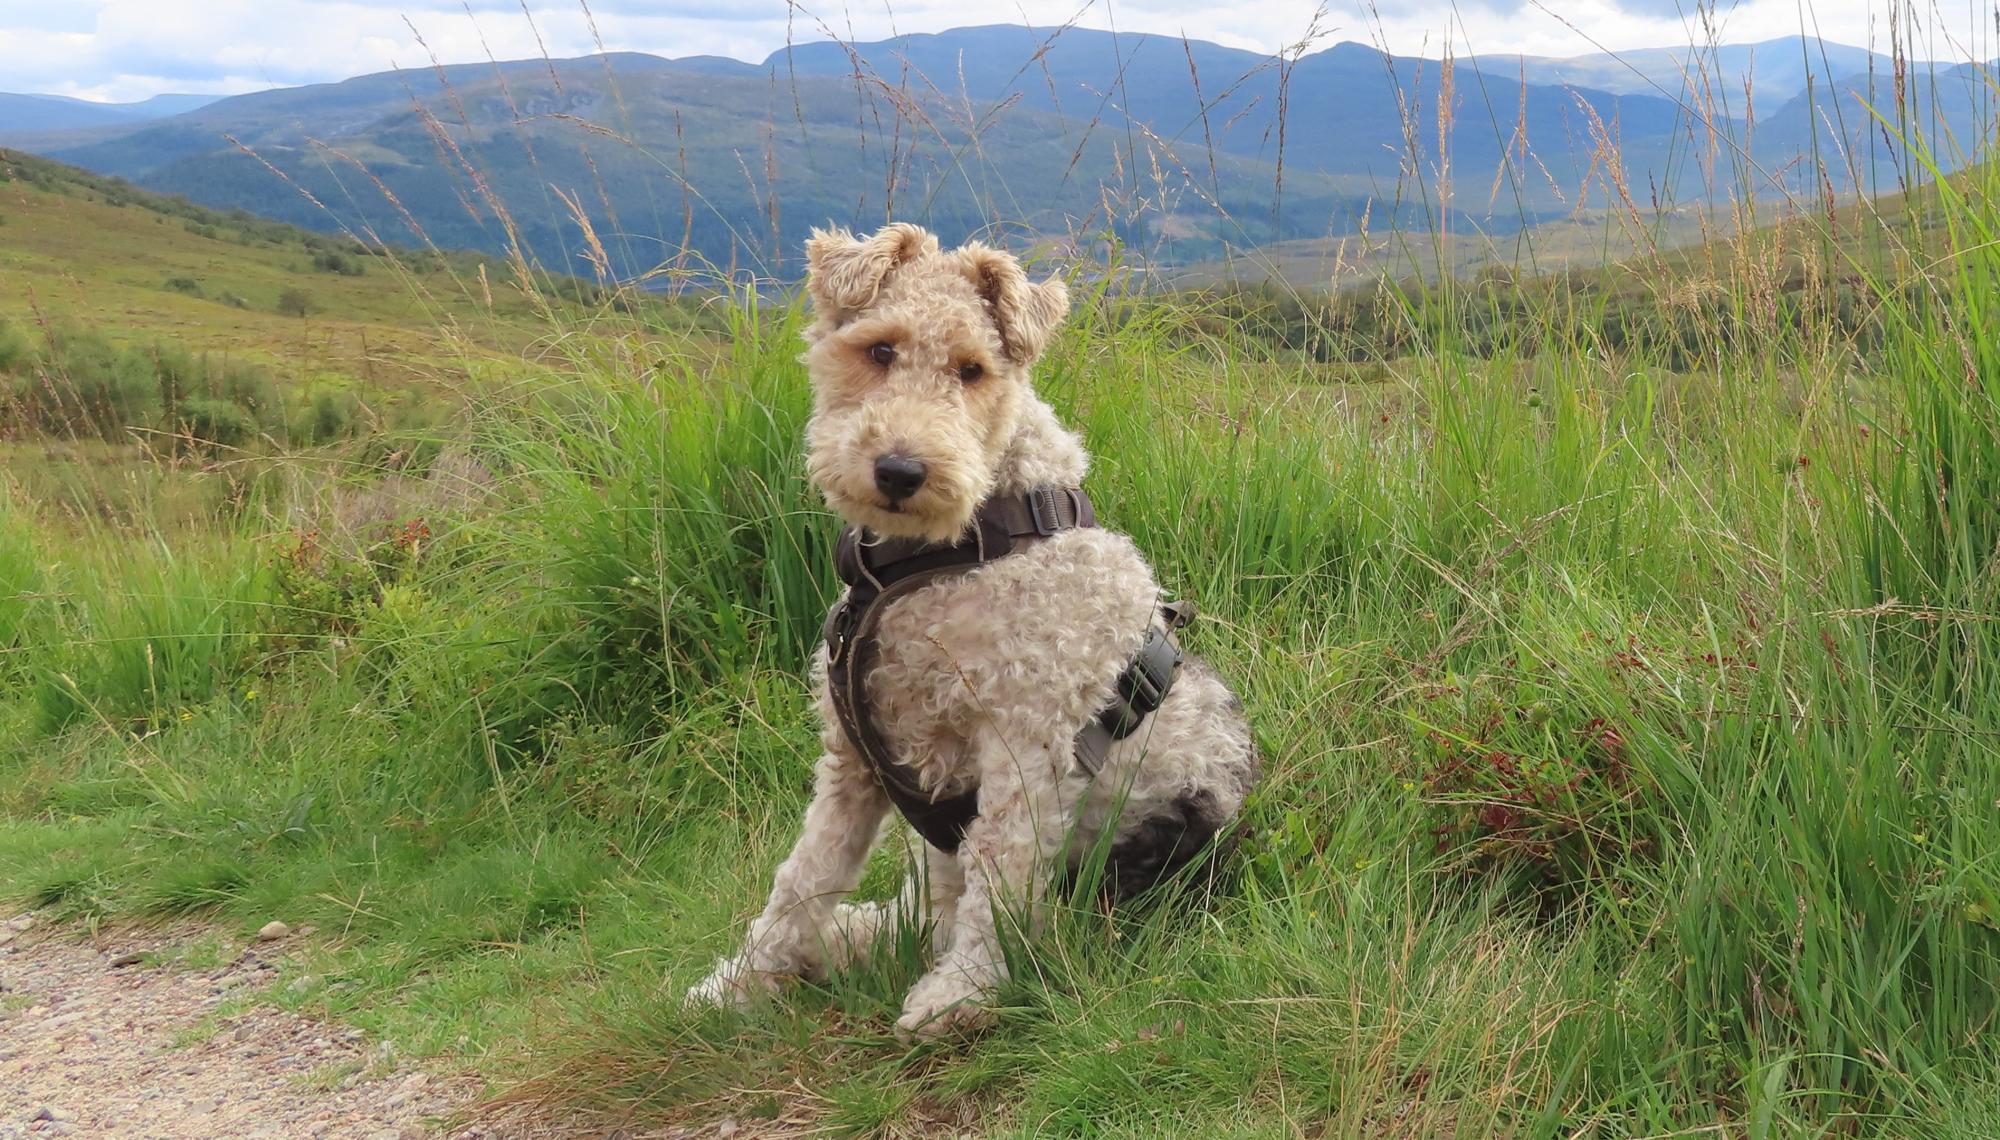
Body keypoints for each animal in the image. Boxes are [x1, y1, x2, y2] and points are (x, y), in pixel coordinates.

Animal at [688, 224, 1248, 1040]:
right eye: (880, 349)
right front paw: (738, 983)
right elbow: (805, 876)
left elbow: (1000, 876)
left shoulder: (1025, 745)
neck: (945, 553)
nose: (900, 471)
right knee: (909, 910)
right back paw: (836, 944)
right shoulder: (853, 760)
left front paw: (963, 994)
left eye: (973, 369)